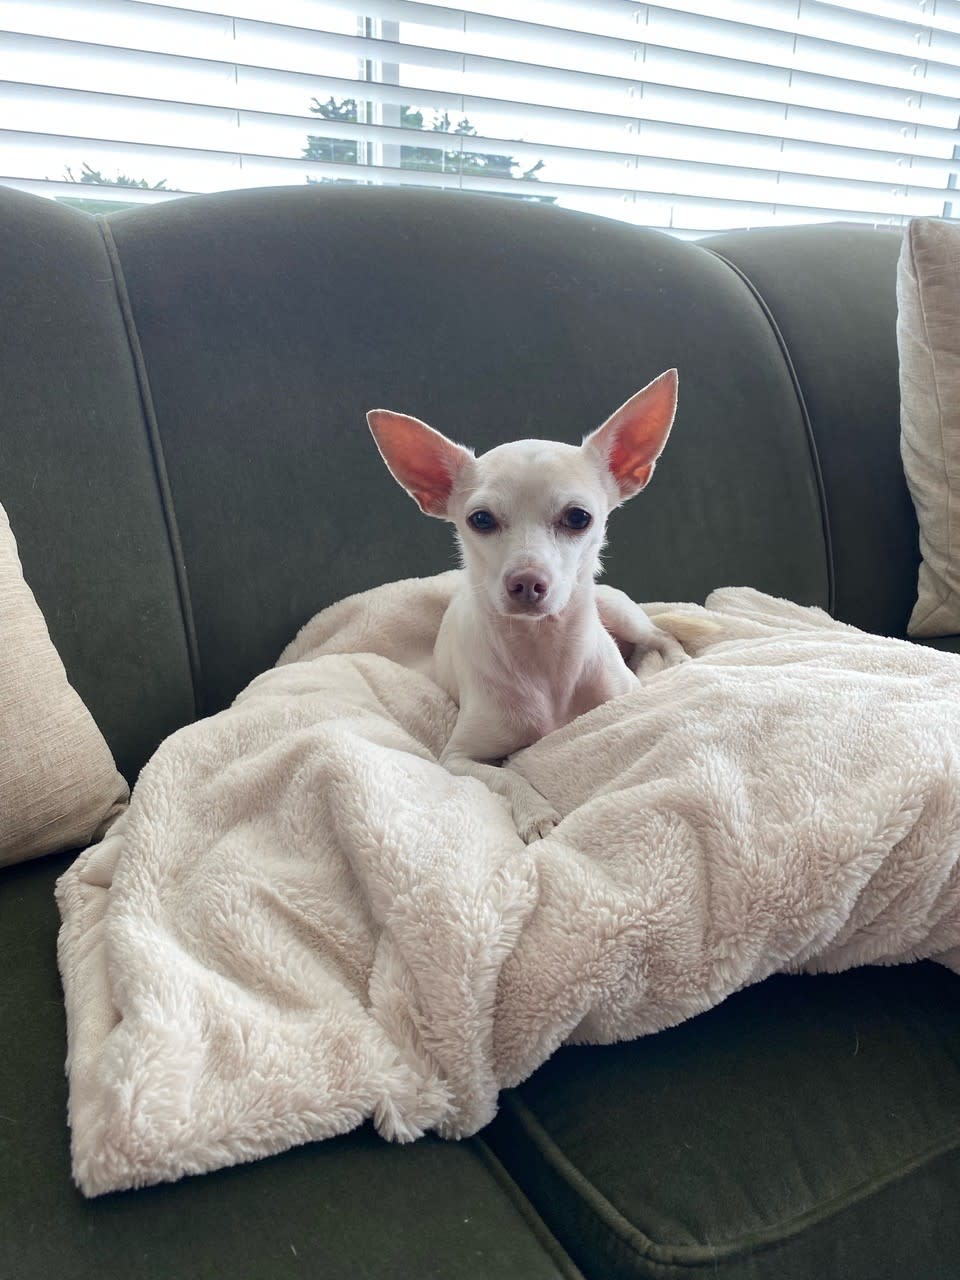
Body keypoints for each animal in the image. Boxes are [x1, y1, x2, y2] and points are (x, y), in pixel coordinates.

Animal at [368, 368, 691, 839]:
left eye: (578, 517)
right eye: (480, 519)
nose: (525, 582)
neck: (543, 655)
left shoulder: (622, 700)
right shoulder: (458, 759)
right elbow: (508, 774)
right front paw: (536, 813)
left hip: (619, 612)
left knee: (660, 633)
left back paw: (678, 661)